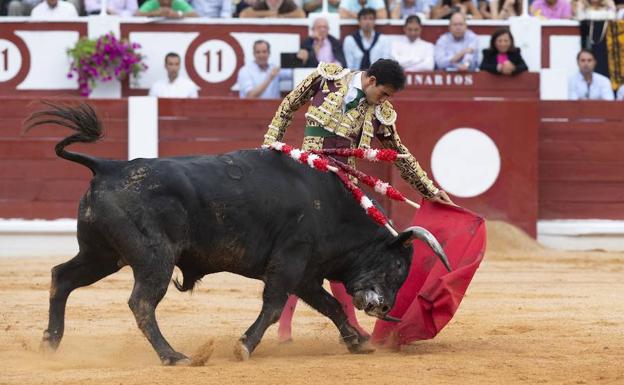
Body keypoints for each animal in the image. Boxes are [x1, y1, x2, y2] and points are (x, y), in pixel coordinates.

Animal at [31, 104, 448, 364]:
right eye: (398, 266)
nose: (384, 308)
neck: (333, 206)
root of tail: (108, 166)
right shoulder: (290, 261)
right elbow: (275, 305)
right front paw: (244, 346)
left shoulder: (307, 273)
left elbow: (330, 305)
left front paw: (358, 342)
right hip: (153, 258)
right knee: (142, 303)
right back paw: (174, 356)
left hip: (102, 254)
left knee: (62, 277)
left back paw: (51, 342)